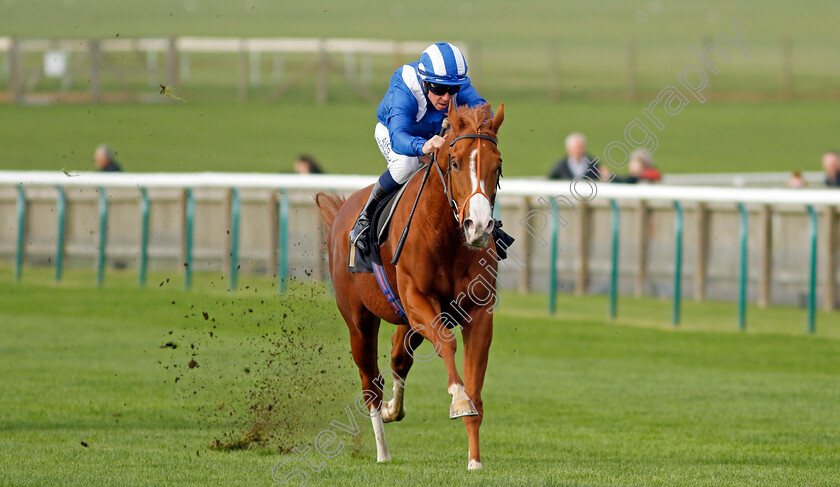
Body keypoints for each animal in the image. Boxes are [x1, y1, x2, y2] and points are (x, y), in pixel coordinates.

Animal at [316, 101, 506, 470]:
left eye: (498, 164)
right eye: (455, 161)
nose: (478, 226)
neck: (447, 237)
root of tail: (342, 211)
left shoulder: (478, 312)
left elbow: (475, 388)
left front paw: (474, 460)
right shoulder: (418, 298)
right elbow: (447, 344)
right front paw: (458, 400)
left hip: (406, 321)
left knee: (398, 358)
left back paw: (393, 410)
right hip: (359, 320)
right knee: (370, 381)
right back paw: (382, 450)